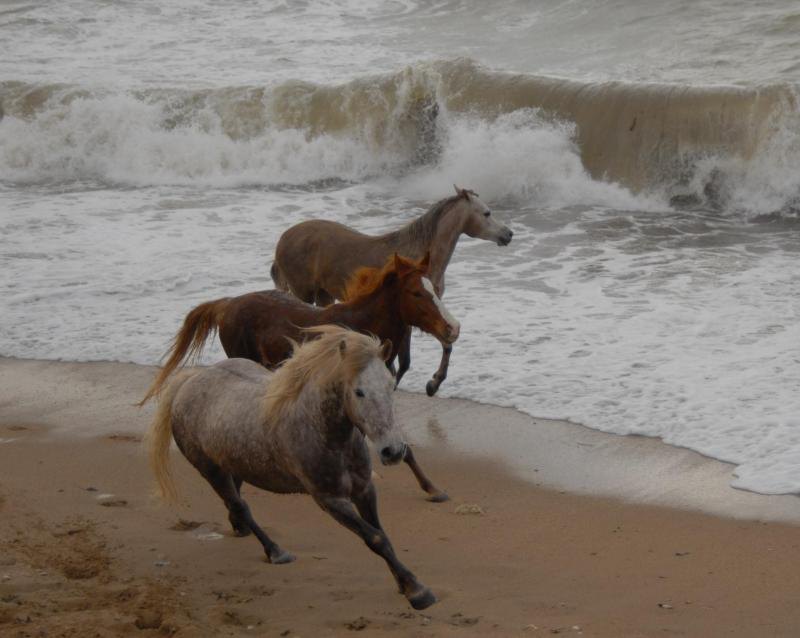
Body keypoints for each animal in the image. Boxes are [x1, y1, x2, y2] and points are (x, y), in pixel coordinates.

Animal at [141, 255, 460, 504]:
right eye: (416, 293)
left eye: (435, 289)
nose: (453, 328)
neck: (361, 330)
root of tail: (228, 303)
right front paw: (430, 486)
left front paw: (432, 487)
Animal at [147, 328, 434, 612]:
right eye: (359, 392)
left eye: (390, 385)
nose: (393, 451)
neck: (324, 433)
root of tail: (189, 381)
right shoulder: (330, 500)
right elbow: (375, 539)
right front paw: (417, 591)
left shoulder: (364, 489)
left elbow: (381, 534)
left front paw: (403, 583)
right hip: (210, 471)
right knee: (240, 505)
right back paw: (276, 551)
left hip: (234, 465)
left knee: (235, 502)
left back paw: (240, 529)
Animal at [272, 184, 516, 396]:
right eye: (486, 213)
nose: (508, 234)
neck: (421, 256)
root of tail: (283, 238)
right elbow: (404, 361)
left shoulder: (431, 313)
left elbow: (445, 346)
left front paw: (433, 385)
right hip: (303, 293)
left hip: (325, 296)